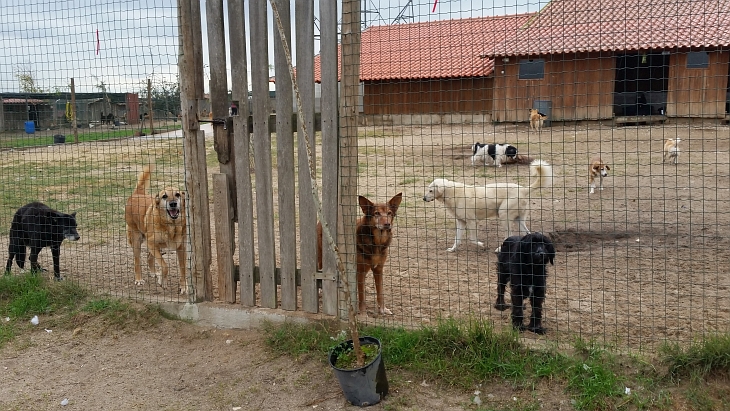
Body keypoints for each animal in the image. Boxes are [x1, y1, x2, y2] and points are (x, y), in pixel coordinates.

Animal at [125, 163, 188, 294]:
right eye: (164, 196)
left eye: (177, 194)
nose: (173, 203)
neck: (171, 225)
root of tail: (137, 193)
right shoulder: (151, 243)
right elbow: (164, 265)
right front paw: (163, 282)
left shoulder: (181, 248)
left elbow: (183, 268)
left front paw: (183, 286)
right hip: (137, 239)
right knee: (137, 260)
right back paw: (139, 279)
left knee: (149, 257)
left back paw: (154, 273)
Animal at [420, 160, 552, 251]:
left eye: (430, 191)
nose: (423, 198)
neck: (451, 193)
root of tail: (523, 189)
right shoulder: (461, 222)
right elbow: (457, 239)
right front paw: (452, 250)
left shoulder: (472, 221)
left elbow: (473, 239)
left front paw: (482, 245)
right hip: (518, 220)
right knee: (527, 233)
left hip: (504, 215)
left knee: (509, 235)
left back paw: (499, 249)